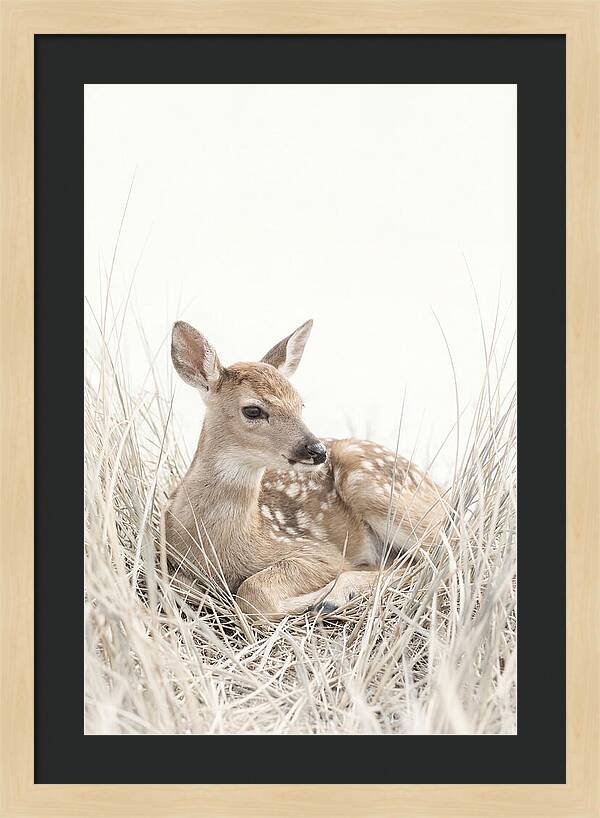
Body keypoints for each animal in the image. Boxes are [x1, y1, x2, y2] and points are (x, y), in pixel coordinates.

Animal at [164, 319, 447, 620]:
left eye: (300, 404)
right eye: (253, 410)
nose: (317, 450)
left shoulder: (318, 551)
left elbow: (254, 592)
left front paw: (314, 598)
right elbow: (180, 586)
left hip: (372, 487)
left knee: (439, 555)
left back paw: (333, 597)